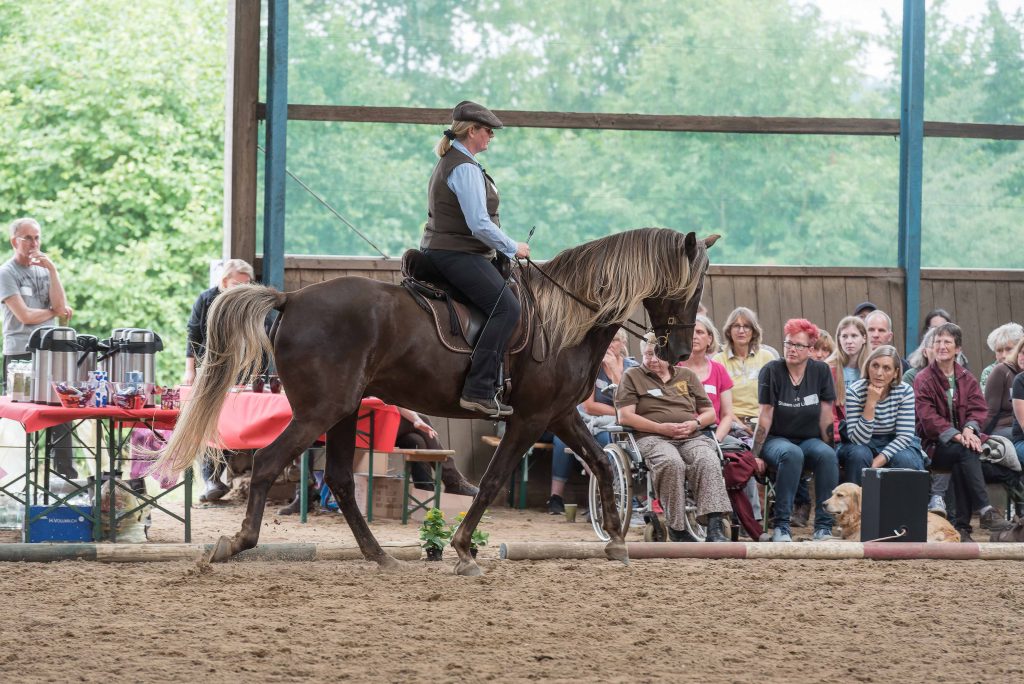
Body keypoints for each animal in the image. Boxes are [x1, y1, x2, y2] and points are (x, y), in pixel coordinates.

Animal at [157, 227, 720, 573]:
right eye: (689, 289)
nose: (676, 352)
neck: (569, 320)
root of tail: (291, 298)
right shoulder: (530, 419)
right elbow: (491, 481)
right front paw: (465, 550)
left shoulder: (558, 414)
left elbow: (604, 465)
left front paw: (619, 543)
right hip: (321, 411)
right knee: (272, 461)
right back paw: (237, 544)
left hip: (344, 412)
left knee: (339, 479)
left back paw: (380, 556)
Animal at [823, 483, 958, 540]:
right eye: (832, 494)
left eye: (840, 495)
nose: (823, 504)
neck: (856, 517)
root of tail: (955, 533)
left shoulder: (856, 539)